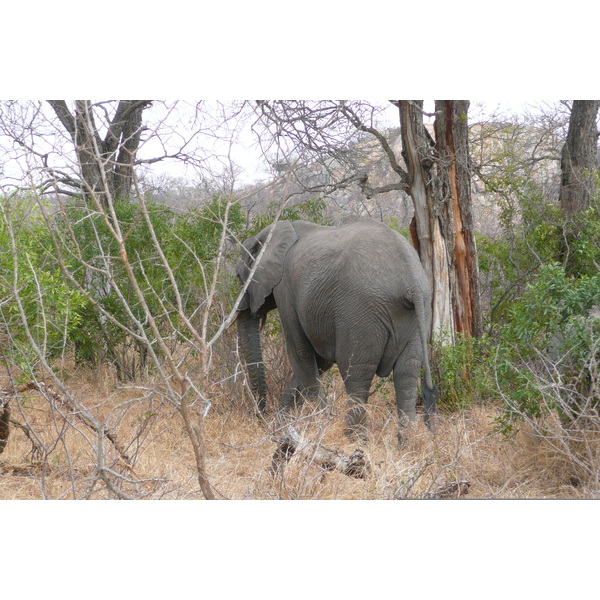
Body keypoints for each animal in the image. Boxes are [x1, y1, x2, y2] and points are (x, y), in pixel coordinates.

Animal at [237, 219, 438, 440]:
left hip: (361, 313)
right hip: (419, 313)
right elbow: (318, 361)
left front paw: (319, 423)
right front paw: (285, 427)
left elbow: (300, 352)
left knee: (357, 374)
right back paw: (405, 442)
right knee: (406, 373)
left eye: (239, 277)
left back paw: (353, 440)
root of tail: (412, 282)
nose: (261, 416)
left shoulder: (285, 289)